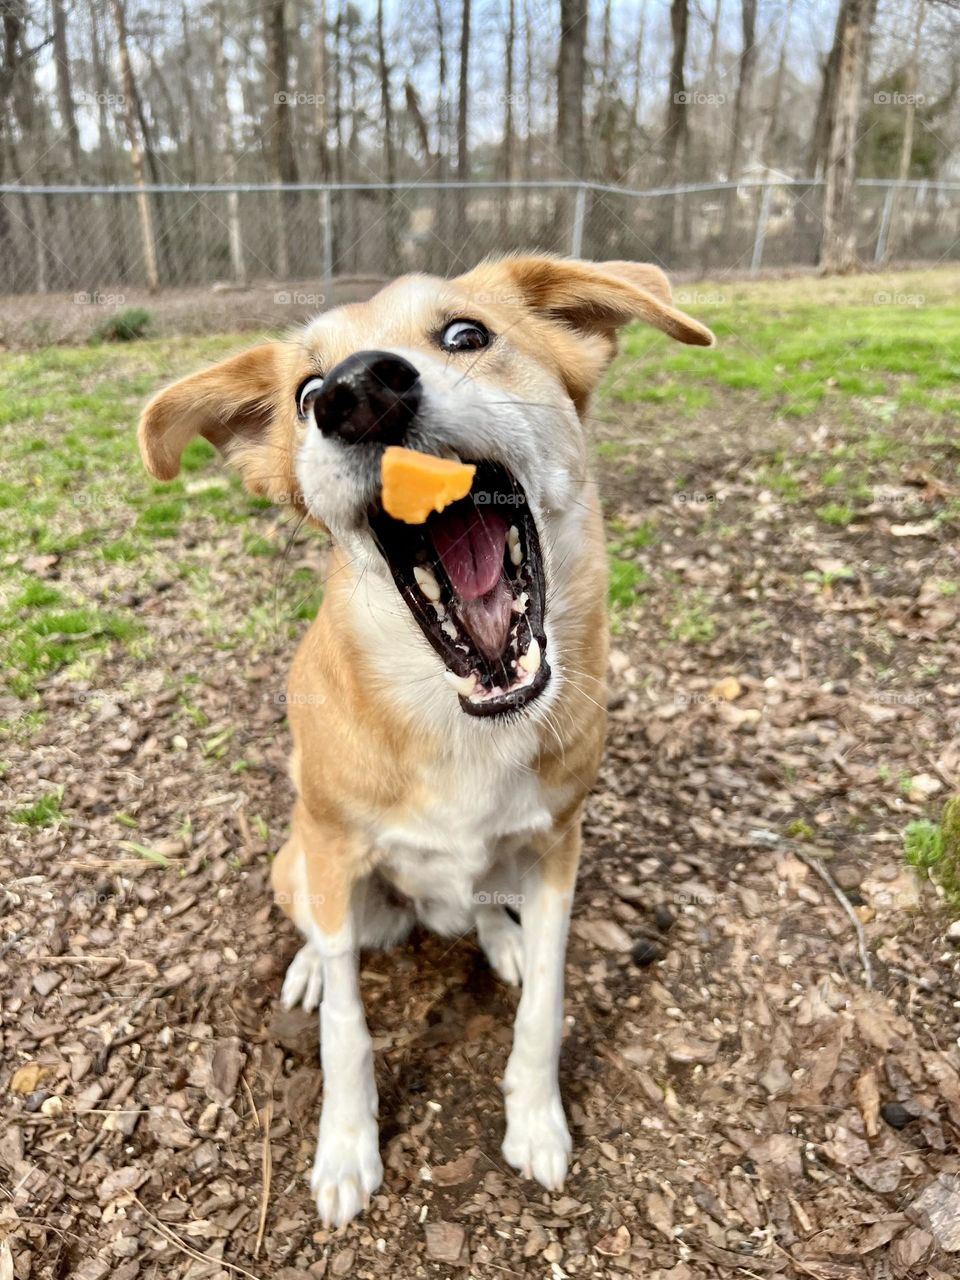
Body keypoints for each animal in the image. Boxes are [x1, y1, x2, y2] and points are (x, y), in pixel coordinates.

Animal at [140, 254, 716, 1223]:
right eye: (304, 394)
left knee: (486, 909)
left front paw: (536, 1118)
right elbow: (346, 1029)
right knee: (324, 937)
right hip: (300, 864)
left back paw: (498, 935)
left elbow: (547, 997)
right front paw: (345, 1149)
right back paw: (311, 966)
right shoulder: (335, 851)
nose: (357, 393)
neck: (463, 719)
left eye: (465, 334)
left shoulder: (561, 846)